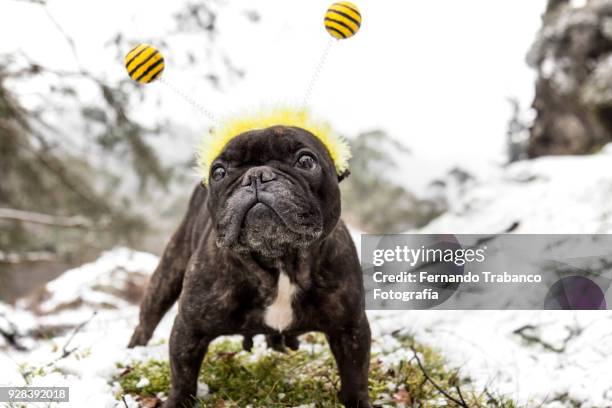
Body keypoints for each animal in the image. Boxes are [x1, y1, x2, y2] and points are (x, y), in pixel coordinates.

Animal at [126, 125, 370, 408]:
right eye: (218, 172)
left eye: (306, 161)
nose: (256, 175)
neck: (278, 261)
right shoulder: (189, 328)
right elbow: (182, 378)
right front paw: (176, 402)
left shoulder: (350, 328)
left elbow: (355, 378)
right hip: (167, 275)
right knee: (147, 320)